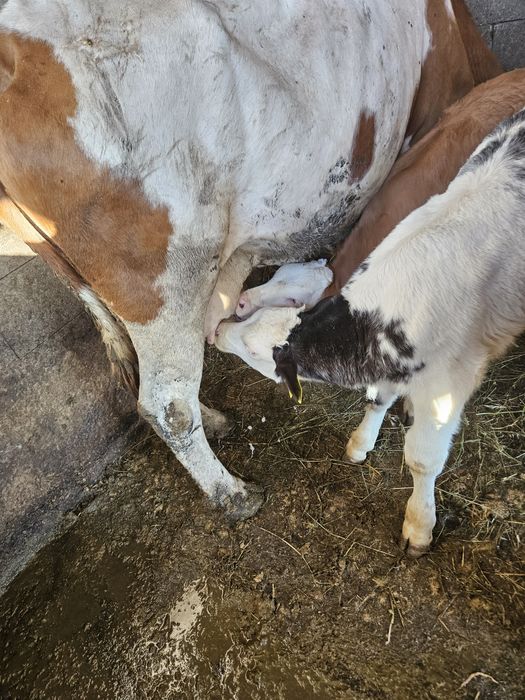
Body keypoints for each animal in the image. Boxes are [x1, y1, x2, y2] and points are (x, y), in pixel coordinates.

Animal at [215, 107, 525, 553]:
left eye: (256, 351)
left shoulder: (448, 386)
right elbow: (377, 400)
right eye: (274, 279)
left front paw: (419, 523)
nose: (220, 328)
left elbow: (423, 458)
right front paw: (362, 441)